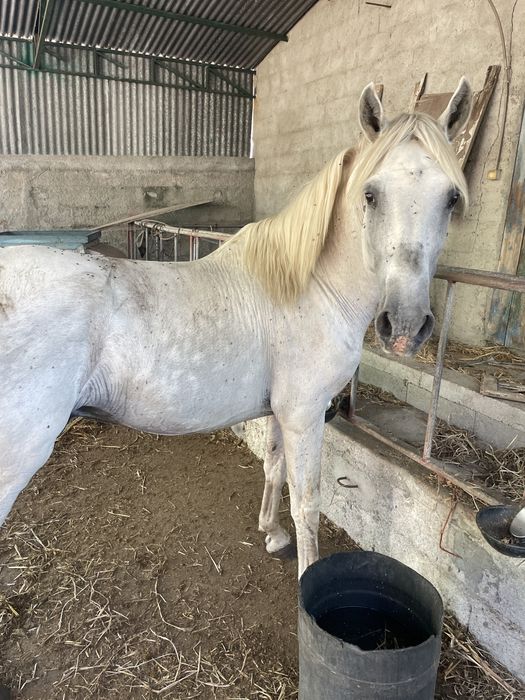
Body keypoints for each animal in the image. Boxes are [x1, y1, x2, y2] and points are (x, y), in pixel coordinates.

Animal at [0, 79, 471, 577]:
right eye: (370, 194)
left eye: (451, 197)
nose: (404, 325)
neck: (309, 288)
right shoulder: (305, 415)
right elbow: (307, 502)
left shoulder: (283, 412)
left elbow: (274, 468)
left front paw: (272, 533)